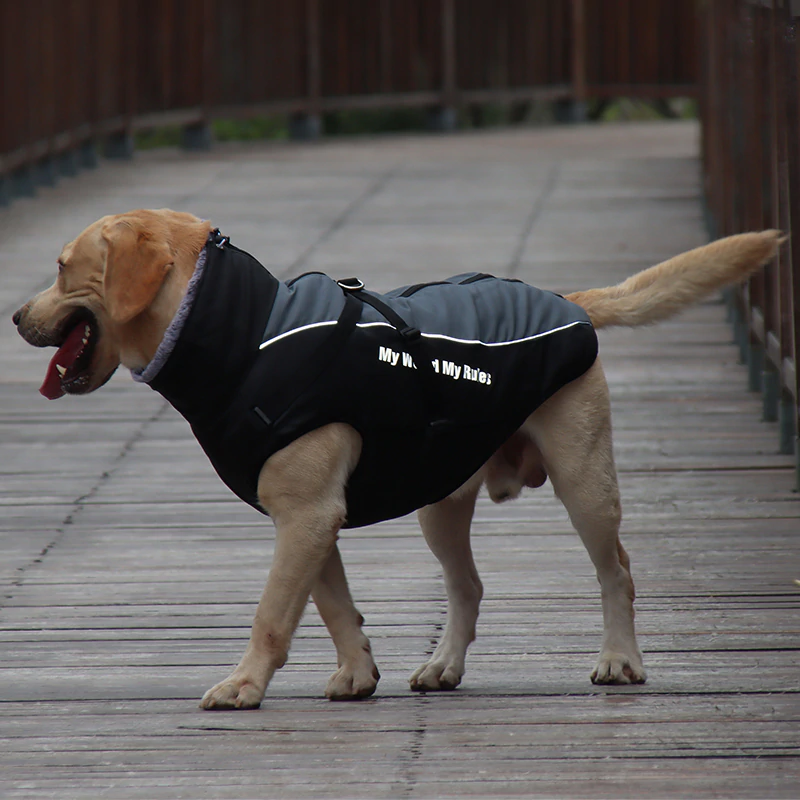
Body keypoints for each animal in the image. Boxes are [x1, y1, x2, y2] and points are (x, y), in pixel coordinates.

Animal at [12, 209, 782, 709]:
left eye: (61, 268)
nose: (17, 317)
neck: (242, 334)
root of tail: (568, 302)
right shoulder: (309, 520)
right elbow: (332, 607)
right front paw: (357, 674)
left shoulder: (306, 516)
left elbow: (273, 614)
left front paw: (245, 684)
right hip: (439, 503)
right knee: (468, 588)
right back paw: (442, 666)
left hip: (585, 482)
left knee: (616, 569)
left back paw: (620, 659)